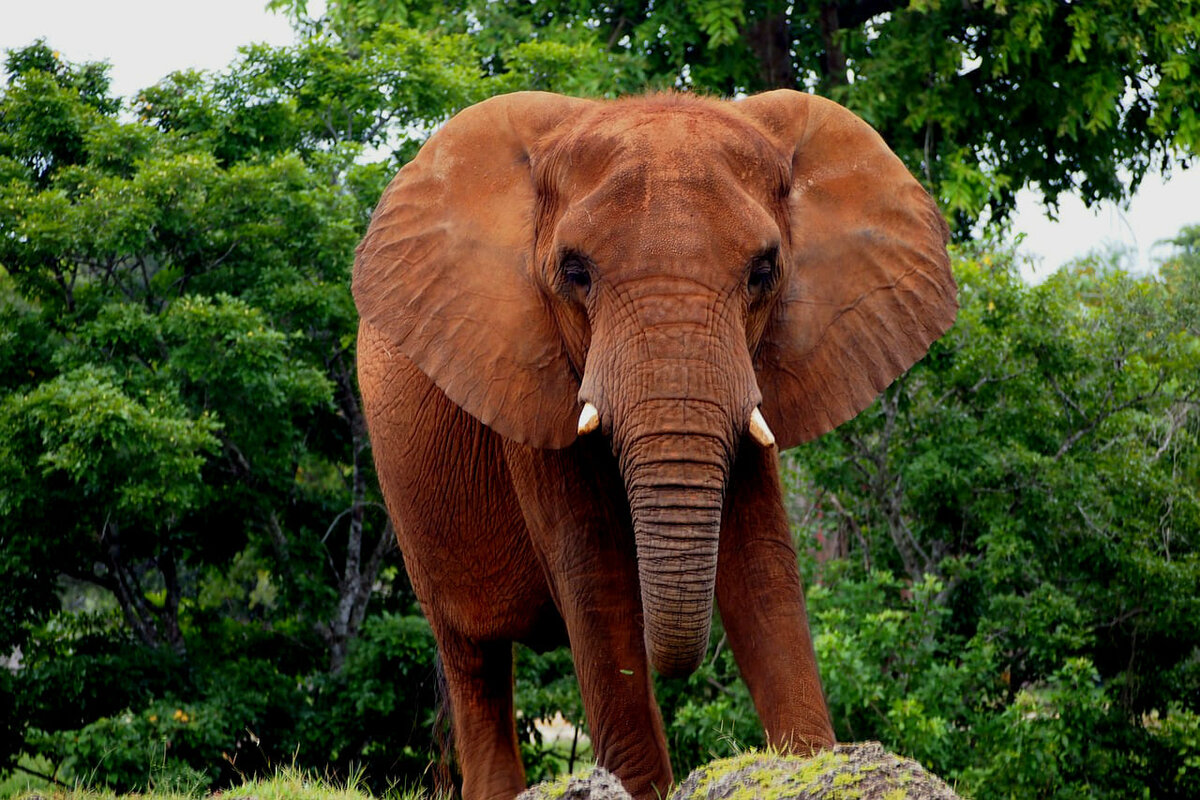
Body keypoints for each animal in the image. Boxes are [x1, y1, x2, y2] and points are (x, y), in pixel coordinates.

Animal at [350, 90, 960, 800]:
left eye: (764, 272)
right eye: (574, 272)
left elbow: (762, 565)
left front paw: (813, 766)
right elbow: (596, 575)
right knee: (473, 659)